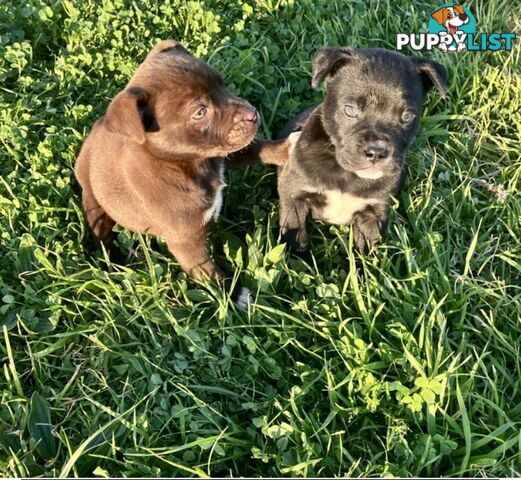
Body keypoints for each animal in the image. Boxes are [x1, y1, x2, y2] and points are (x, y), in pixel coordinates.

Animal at [75, 39, 290, 306]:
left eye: (221, 83)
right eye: (199, 112)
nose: (253, 114)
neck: (189, 164)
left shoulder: (221, 153)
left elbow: (254, 149)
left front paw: (286, 148)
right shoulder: (187, 244)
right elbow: (210, 275)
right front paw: (235, 295)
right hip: (95, 203)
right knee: (101, 237)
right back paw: (115, 263)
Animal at [276, 47, 446, 253]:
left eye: (407, 117)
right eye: (350, 110)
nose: (376, 152)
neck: (346, 174)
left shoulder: (373, 215)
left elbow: (368, 253)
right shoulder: (294, 195)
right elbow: (294, 236)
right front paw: (297, 258)